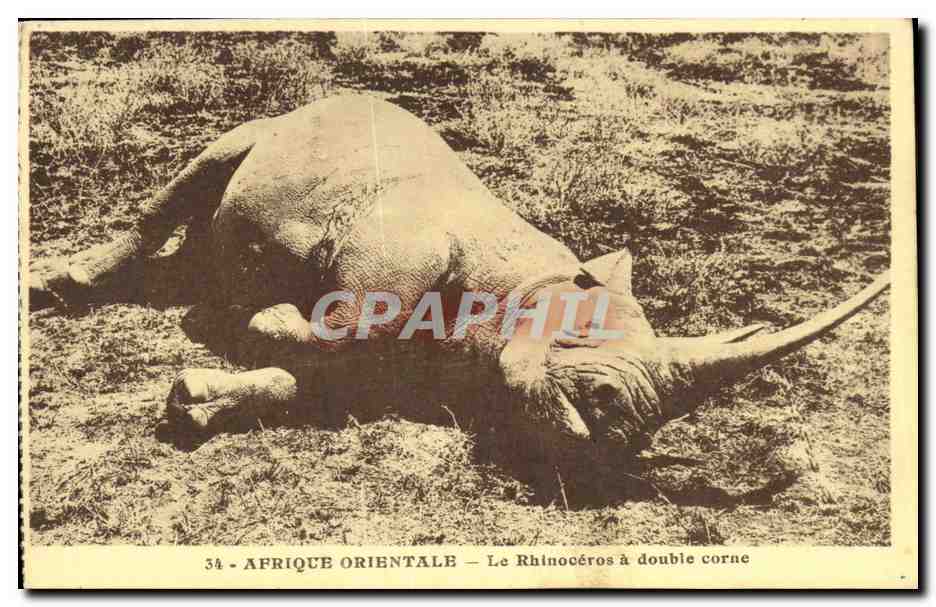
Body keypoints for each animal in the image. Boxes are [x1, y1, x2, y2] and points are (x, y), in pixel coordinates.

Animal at [30, 95, 889, 493]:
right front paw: (247, 317)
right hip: (283, 120)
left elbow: (312, 381)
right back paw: (67, 286)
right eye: (587, 347)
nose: (612, 440)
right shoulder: (392, 253)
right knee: (207, 164)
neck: (525, 289)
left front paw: (195, 399)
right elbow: (348, 325)